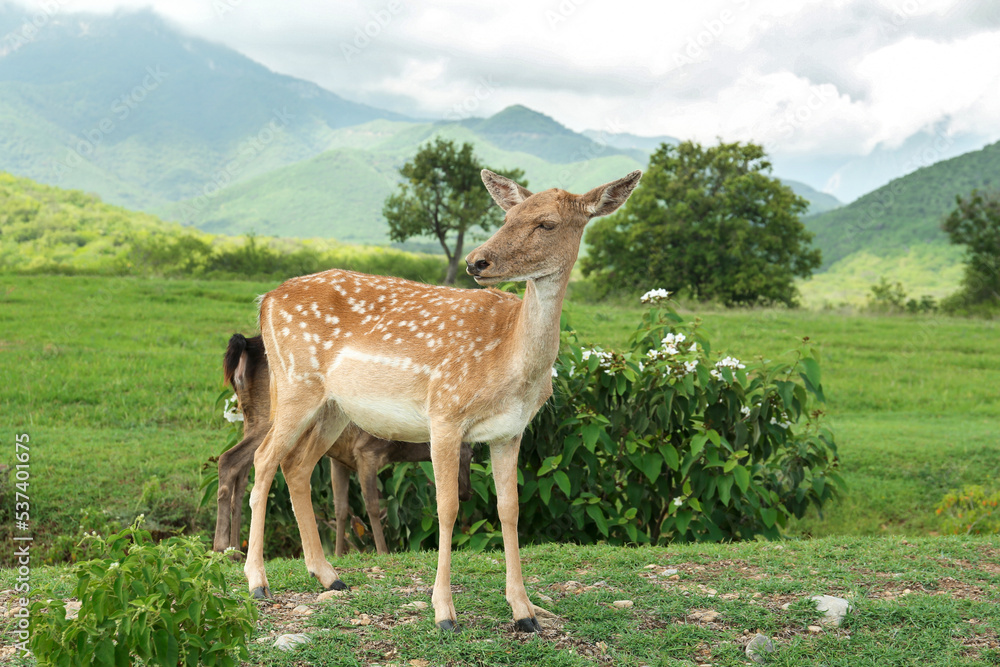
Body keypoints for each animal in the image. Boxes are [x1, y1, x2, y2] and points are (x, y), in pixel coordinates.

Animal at [215, 333, 473, 561]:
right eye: (471, 454)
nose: (467, 493)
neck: (396, 446)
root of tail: (246, 347)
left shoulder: (339, 458)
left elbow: (340, 508)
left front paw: (339, 554)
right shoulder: (366, 451)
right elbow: (372, 505)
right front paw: (382, 551)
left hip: (250, 418)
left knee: (243, 474)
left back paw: (235, 551)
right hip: (272, 417)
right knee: (228, 460)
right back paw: (221, 547)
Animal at [243, 169, 642, 632]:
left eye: (547, 223)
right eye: (508, 216)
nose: (477, 262)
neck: (512, 364)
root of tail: (266, 300)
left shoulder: (511, 431)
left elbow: (509, 509)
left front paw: (524, 611)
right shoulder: (445, 412)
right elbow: (447, 507)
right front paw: (444, 612)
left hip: (334, 408)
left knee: (297, 465)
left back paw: (328, 576)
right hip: (294, 381)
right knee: (264, 459)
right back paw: (257, 581)